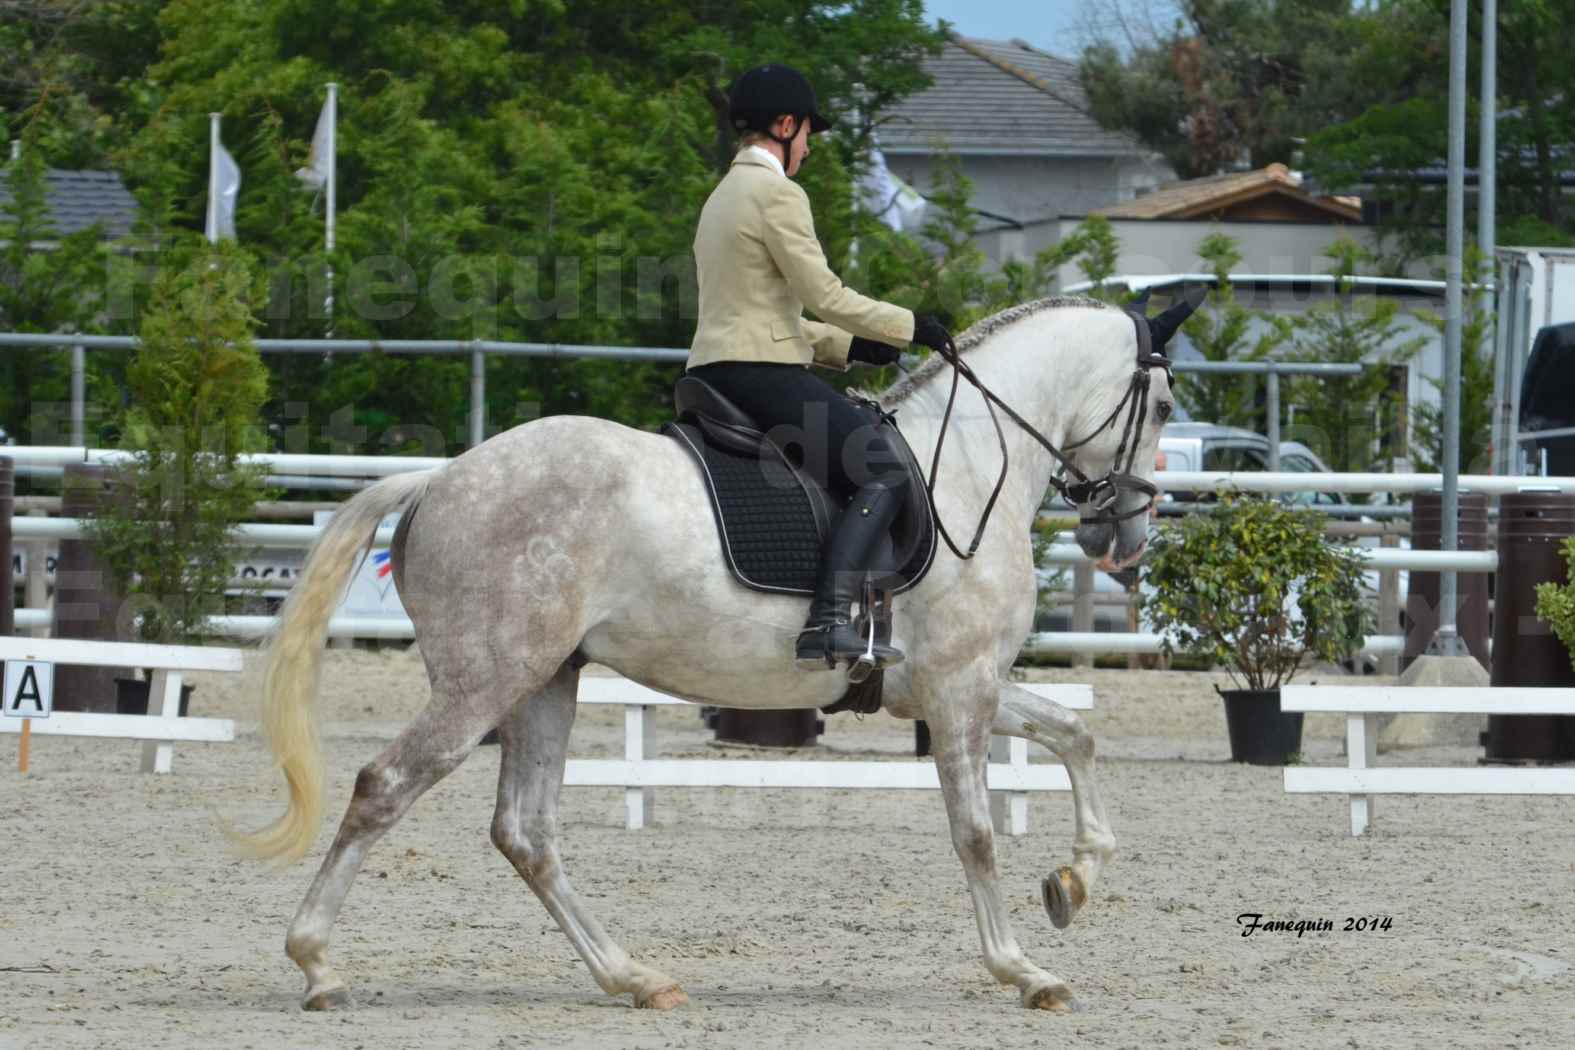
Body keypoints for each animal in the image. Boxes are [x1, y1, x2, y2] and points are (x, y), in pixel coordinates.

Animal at [233, 291, 1190, 1013]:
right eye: (1165, 406)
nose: (1124, 533)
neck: (964, 465)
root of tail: (439, 477)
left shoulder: (959, 685)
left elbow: (1075, 734)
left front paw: (1072, 883)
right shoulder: (958, 690)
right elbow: (977, 833)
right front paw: (1023, 970)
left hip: (543, 681)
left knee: (525, 832)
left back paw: (633, 976)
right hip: (485, 680)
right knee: (385, 786)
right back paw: (317, 966)